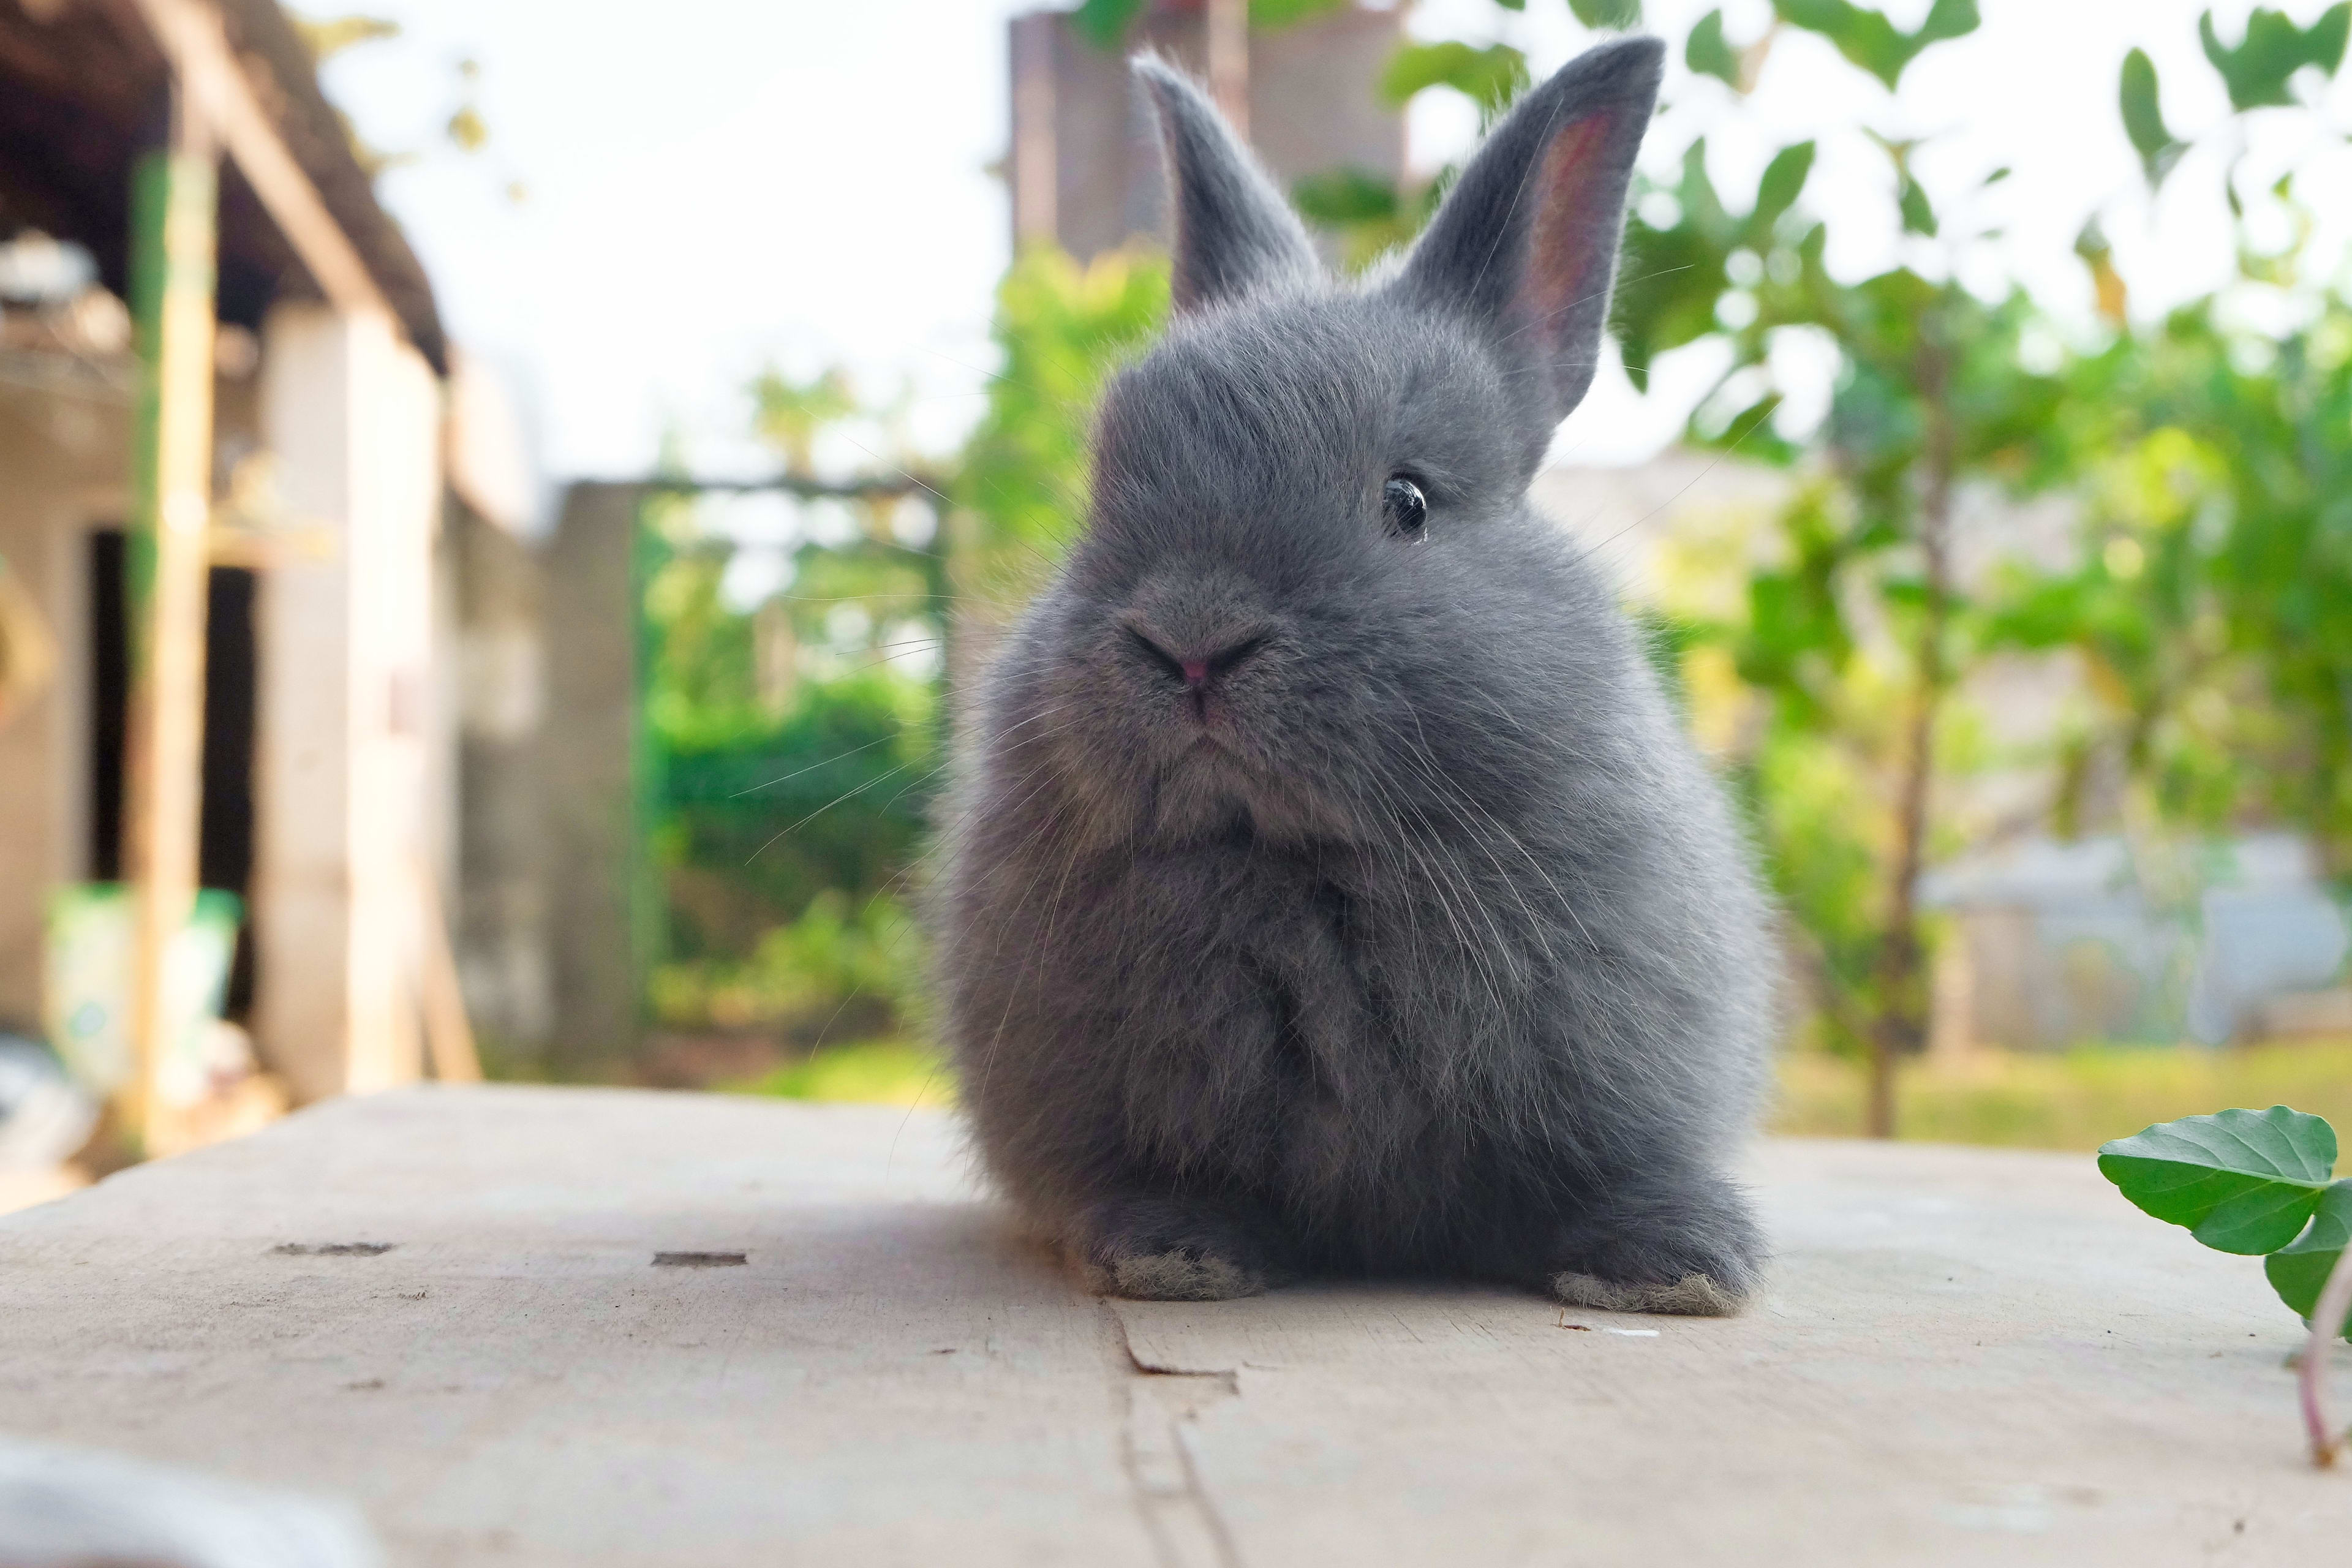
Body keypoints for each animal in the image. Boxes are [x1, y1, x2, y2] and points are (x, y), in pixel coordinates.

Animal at [933, 36, 1776, 1315]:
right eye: (1101, 496)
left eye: (1409, 502)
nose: (1193, 638)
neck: (1296, 862)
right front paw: (1175, 1255)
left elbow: (1611, 1179)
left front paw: (1676, 1270)